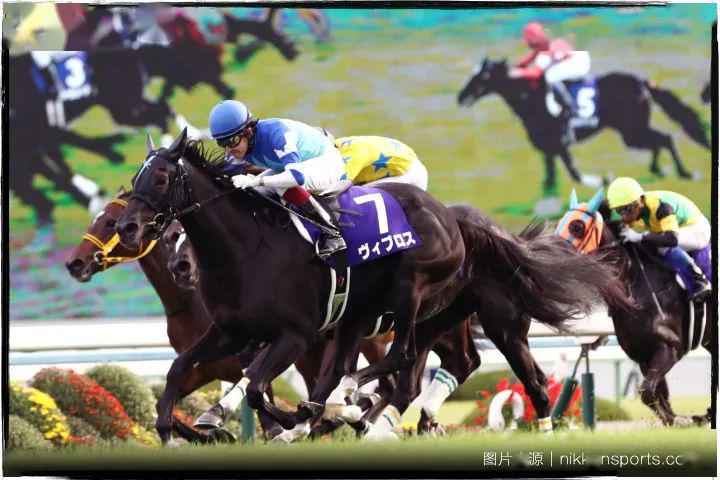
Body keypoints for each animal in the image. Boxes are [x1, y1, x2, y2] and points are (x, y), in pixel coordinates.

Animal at [457, 58, 711, 195]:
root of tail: (642, 82)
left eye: (482, 76)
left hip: (632, 131)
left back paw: (684, 172)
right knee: (660, 141)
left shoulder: (561, 143)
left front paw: (602, 180)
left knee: (665, 138)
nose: (461, 96)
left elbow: (575, 173)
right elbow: (550, 179)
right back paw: (658, 169)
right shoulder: (548, 148)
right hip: (632, 131)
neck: (531, 98)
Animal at [556, 189, 715, 426]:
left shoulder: (670, 347)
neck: (635, 283)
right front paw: (676, 419)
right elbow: (656, 395)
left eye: (577, 226)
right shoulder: (643, 354)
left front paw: (682, 419)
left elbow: (647, 392)